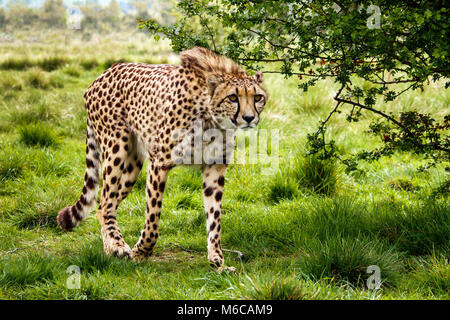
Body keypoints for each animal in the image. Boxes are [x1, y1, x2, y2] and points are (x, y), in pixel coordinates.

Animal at [56, 47, 268, 272]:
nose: (248, 118)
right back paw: (116, 246)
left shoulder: (214, 167)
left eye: (258, 97)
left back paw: (111, 246)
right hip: (116, 149)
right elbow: (153, 217)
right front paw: (141, 252)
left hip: (132, 166)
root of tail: (104, 73)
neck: (212, 117)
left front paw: (217, 262)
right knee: (105, 202)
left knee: (104, 205)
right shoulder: (159, 163)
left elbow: (214, 218)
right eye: (233, 98)